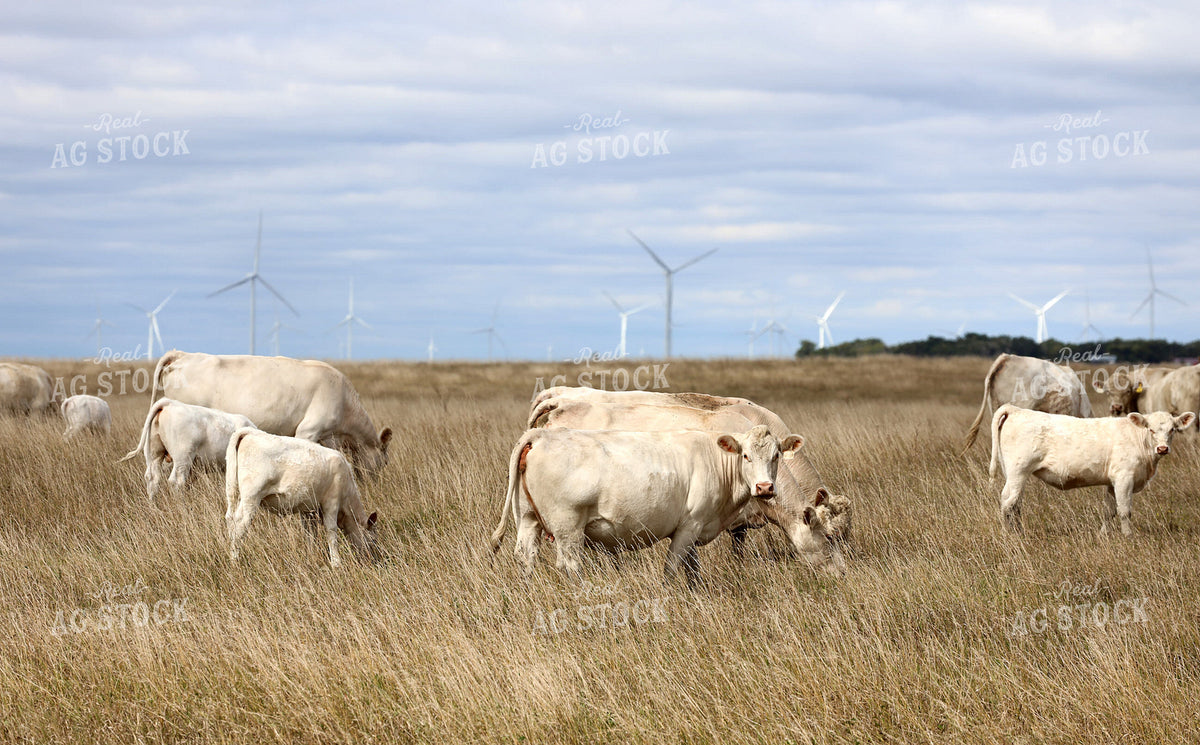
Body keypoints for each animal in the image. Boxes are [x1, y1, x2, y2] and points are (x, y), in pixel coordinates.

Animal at [224, 428, 379, 568]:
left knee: (230, 520)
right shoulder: (331, 501)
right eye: (373, 540)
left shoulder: (308, 510)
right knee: (239, 525)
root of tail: (249, 432)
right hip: (251, 498)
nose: (372, 558)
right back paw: (235, 561)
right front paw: (336, 563)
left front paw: (312, 556)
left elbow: (310, 534)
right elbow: (331, 531)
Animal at [489, 425, 844, 585]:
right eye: (745, 455)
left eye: (776, 455)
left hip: (528, 519)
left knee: (526, 557)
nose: (765, 487)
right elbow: (673, 569)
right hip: (567, 528)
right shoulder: (688, 526)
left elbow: (692, 569)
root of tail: (540, 435)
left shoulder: (697, 530)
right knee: (569, 564)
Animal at [989, 404, 1195, 536]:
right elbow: (1124, 510)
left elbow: (1109, 511)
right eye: (1151, 429)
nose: (1162, 448)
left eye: (1172, 430)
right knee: (1007, 502)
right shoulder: (1124, 478)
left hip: (1015, 475)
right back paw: (1007, 535)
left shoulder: (1112, 482)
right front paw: (1128, 536)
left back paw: (1019, 533)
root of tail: (1016, 409)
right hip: (1018, 472)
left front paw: (1104, 534)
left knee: (1015, 504)